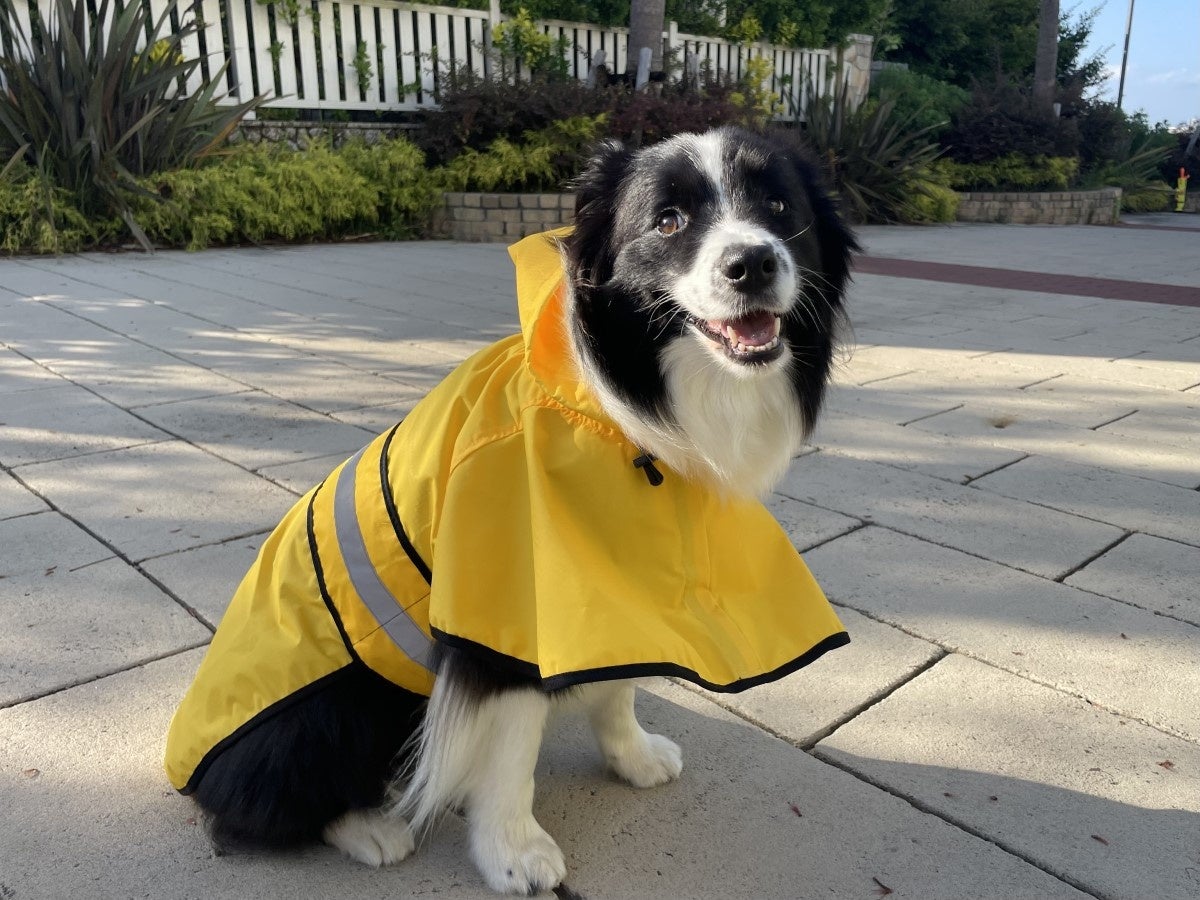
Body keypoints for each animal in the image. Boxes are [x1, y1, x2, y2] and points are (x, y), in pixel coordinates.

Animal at [166, 125, 864, 897]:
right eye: (668, 220)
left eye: (779, 205)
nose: (753, 262)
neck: (614, 410)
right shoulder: (505, 616)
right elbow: (510, 751)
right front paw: (512, 852)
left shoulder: (617, 585)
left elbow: (618, 685)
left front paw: (632, 756)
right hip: (333, 707)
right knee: (261, 802)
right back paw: (371, 827)